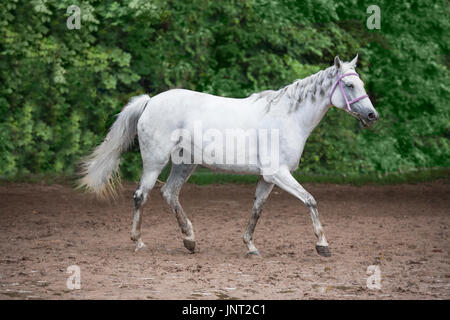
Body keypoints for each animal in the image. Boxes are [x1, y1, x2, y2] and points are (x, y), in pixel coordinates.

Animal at [79, 55, 378, 258]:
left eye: (361, 83)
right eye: (349, 85)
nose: (372, 115)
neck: (289, 118)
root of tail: (150, 101)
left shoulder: (267, 178)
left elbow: (257, 209)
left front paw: (251, 246)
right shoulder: (279, 173)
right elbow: (310, 201)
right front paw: (322, 245)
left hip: (185, 164)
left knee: (170, 194)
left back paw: (190, 240)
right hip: (155, 162)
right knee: (141, 195)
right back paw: (139, 241)